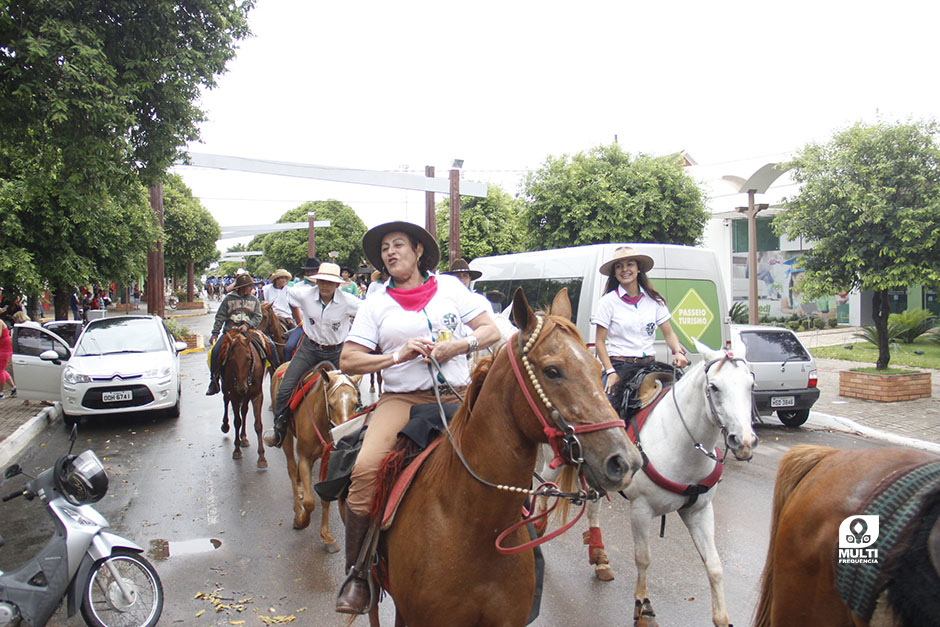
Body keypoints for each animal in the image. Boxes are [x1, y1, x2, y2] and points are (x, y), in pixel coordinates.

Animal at [218, 332, 268, 468]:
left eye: (248, 358)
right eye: (231, 360)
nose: (242, 387)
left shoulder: (257, 395)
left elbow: (258, 425)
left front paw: (262, 457)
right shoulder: (235, 396)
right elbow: (237, 422)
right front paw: (236, 450)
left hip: (246, 396)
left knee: (244, 411)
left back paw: (244, 437)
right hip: (226, 389)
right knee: (226, 400)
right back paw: (225, 425)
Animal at [272, 360, 364, 552]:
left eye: (355, 404)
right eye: (331, 405)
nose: (344, 437)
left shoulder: (326, 460)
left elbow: (325, 499)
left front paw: (326, 537)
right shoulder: (304, 457)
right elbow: (309, 502)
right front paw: (301, 520)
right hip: (286, 438)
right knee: (291, 469)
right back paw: (297, 506)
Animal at [536, 340, 756, 627]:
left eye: (751, 384)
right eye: (715, 387)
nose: (744, 441)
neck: (679, 440)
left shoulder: (700, 510)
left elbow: (714, 566)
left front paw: (722, 617)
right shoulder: (641, 510)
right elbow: (643, 558)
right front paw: (643, 605)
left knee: (593, 509)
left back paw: (599, 557)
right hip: (556, 464)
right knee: (543, 491)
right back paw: (538, 529)